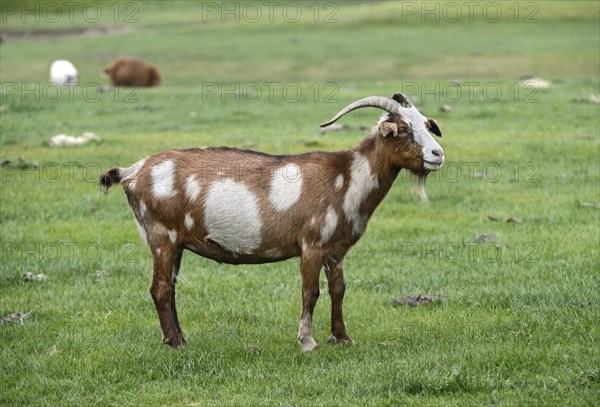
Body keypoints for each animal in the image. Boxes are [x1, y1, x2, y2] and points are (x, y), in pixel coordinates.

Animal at [99, 94, 446, 352]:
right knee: (159, 288)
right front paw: (308, 342)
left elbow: (338, 290)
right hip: (162, 235)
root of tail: (131, 171)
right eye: (403, 129)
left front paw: (343, 337)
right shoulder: (312, 244)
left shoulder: (335, 250)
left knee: (169, 288)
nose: (437, 154)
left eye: (427, 125)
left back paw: (179, 338)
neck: (347, 178)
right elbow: (310, 292)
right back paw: (175, 343)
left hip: (176, 242)